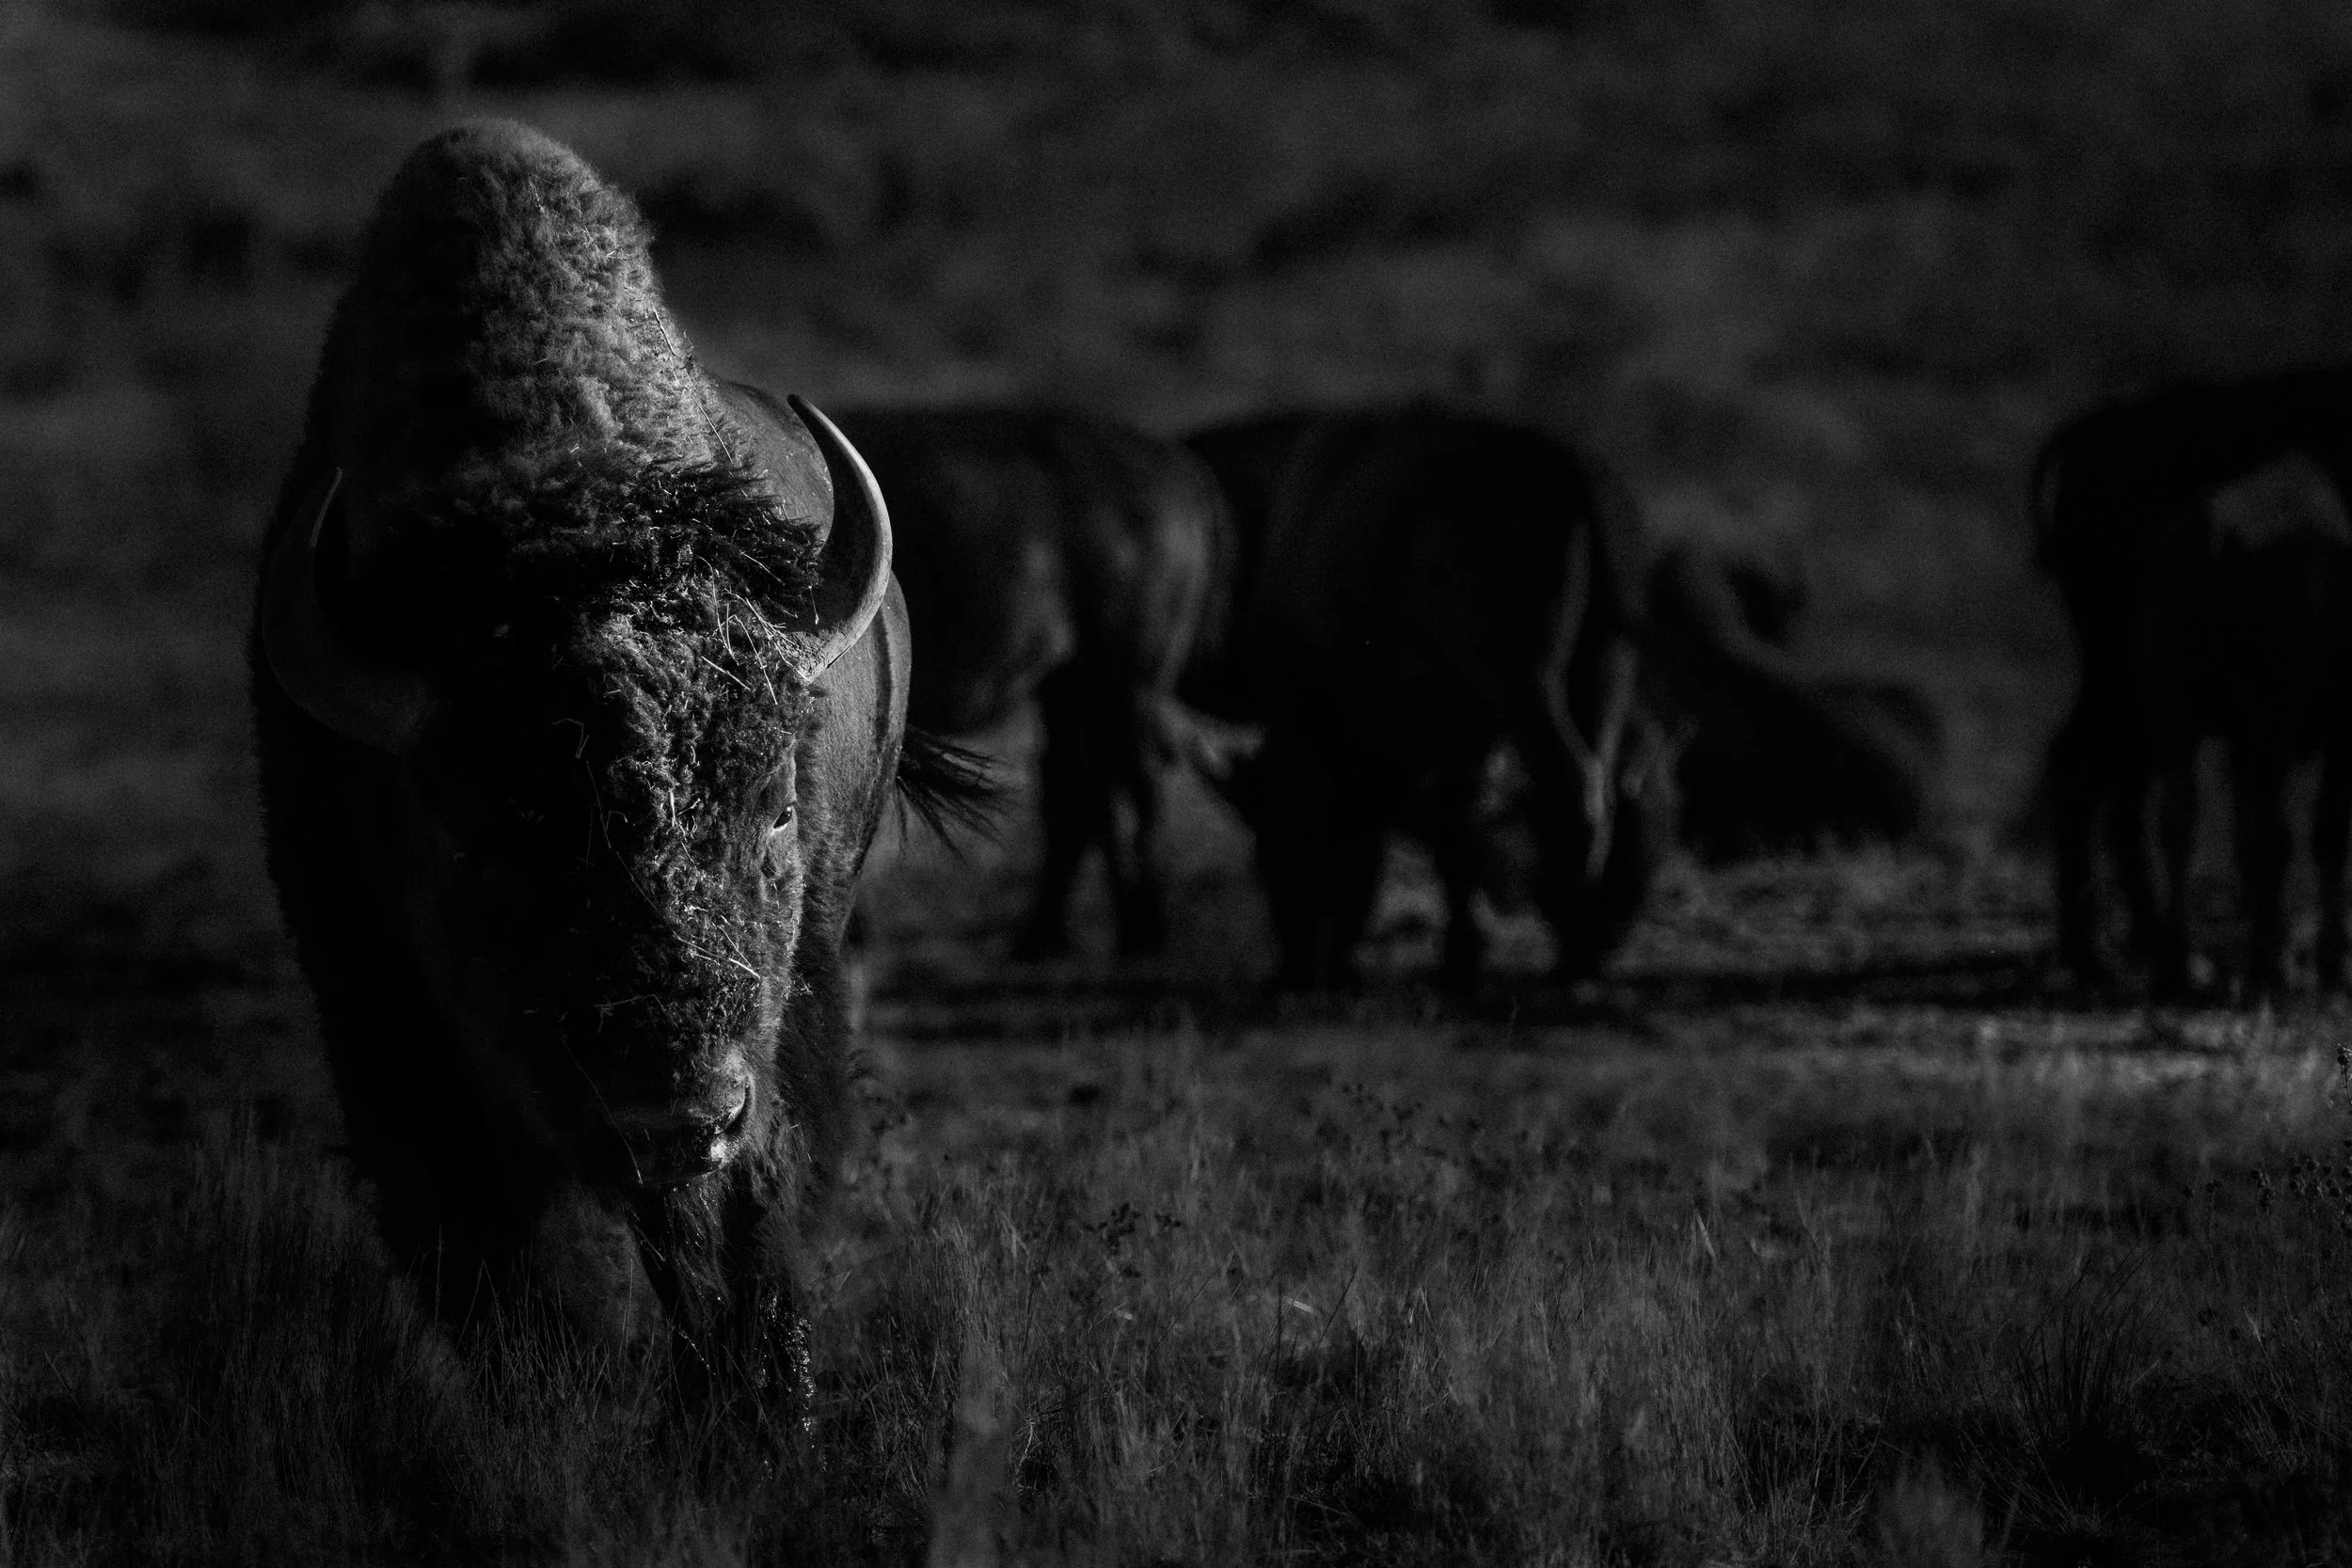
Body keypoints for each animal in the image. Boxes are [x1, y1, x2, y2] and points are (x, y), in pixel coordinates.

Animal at [833, 407, 1219, 958]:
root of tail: (1180, 468)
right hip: (1074, 687)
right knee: (1082, 789)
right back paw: (1047, 935)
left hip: (1128, 679)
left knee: (1136, 785)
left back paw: (1141, 931)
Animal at [1183, 407, 1665, 990]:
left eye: (1267, 847)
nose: (1291, 968)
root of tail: (1570, 465)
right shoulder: (1457, 735)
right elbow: (1453, 829)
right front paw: (1463, 952)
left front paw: (1460, 956)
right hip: (1603, 670)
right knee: (1606, 785)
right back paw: (1584, 944)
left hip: (1527, 684)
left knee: (1572, 789)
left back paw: (1572, 957)